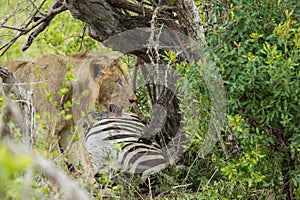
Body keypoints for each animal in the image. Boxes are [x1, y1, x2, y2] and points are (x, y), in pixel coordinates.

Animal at [0, 53, 137, 175]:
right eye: (119, 81)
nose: (134, 100)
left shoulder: (69, 131)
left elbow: (84, 164)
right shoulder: (43, 132)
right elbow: (59, 166)